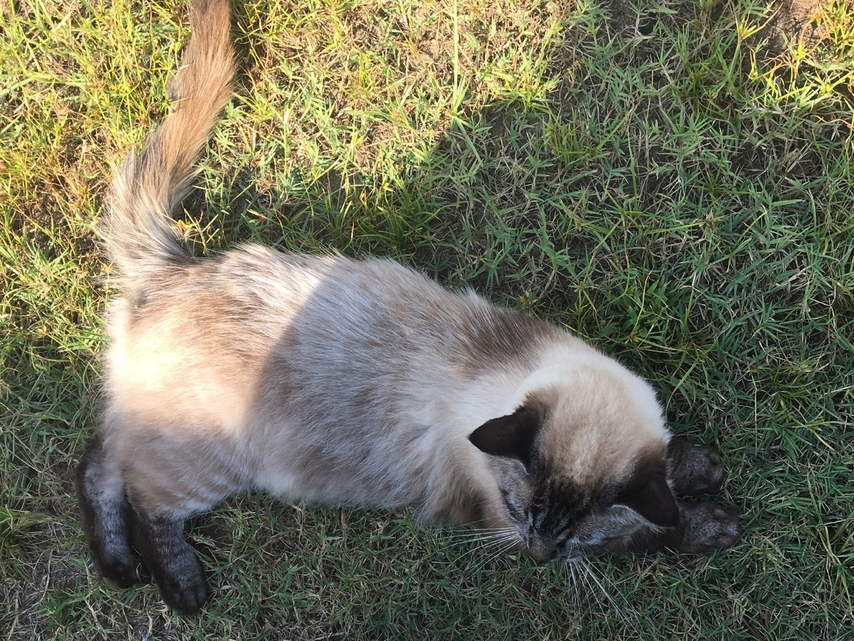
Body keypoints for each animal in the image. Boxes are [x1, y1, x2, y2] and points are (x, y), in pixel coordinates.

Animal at [76, 0, 740, 616]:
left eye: (574, 535)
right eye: (522, 514)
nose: (538, 555)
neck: (496, 378)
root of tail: (172, 270)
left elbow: (666, 471)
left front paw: (701, 468)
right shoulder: (488, 506)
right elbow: (655, 531)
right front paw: (714, 524)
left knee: (101, 462)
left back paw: (117, 567)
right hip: (207, 465)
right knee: (143, 497)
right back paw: (179, 586)